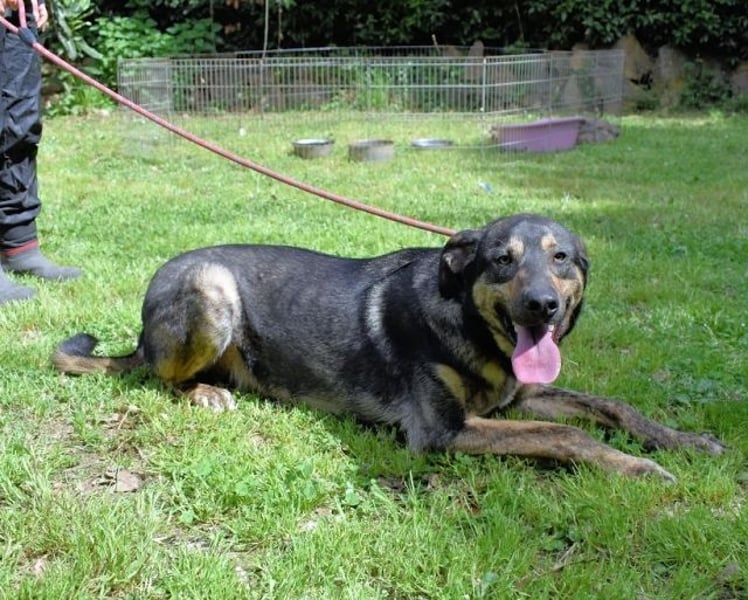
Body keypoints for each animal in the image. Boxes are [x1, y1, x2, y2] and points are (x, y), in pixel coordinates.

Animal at [53, 214, 724, 480]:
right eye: (502, 261)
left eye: (561, 258)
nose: (543, 306)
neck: (467, 322)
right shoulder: (444, 432)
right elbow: (566, 435)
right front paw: (636, 468)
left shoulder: (513, 400)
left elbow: (612, 407)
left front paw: (685, 442)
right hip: (210, 289)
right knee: (158, 376)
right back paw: (202, 392)